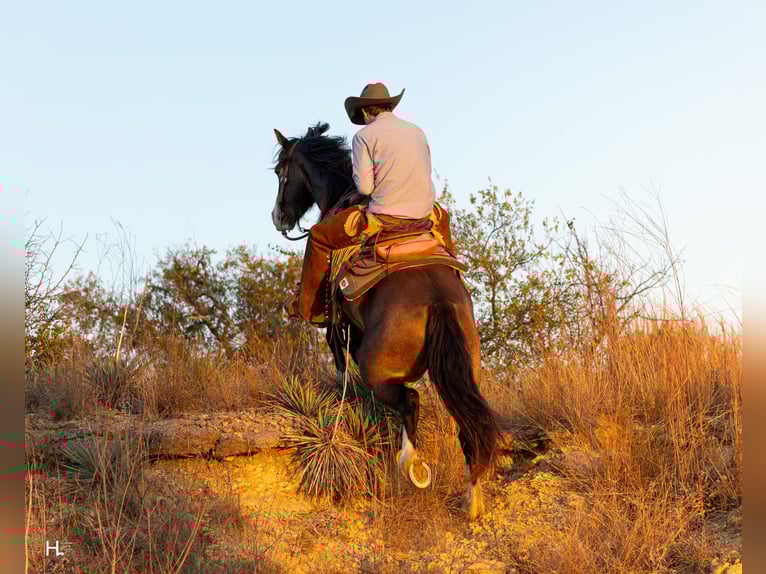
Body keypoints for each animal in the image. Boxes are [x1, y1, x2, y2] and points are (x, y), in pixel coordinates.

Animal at [269, 122, 501, 520]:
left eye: (279, 172)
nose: (278, 216)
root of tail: (436, 298)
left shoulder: (339, 328)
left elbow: (341, 369)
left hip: (380, 368)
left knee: (410, 400)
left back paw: (412, 466)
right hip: (464, 367)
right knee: (467, 424)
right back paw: (472, 500)